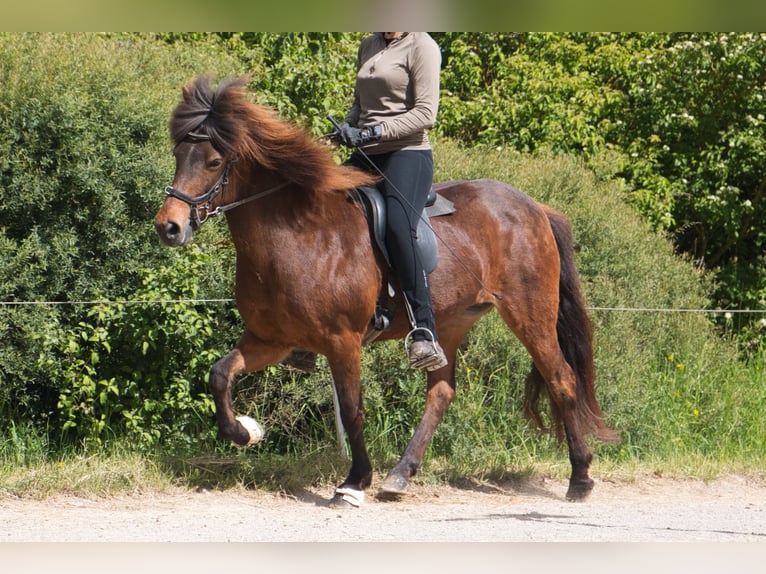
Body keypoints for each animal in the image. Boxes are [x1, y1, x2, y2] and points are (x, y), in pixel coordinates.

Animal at [154, 75, 616, 508]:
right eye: (178, 155)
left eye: (214, 161)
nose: (168, 227)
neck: (295, 235)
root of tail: (535, 207)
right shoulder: (271, 340)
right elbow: (219, 375)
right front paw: (246, 432)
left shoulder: (343, 341)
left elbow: (352, 409)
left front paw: (354, 482)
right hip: (450, 322)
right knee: (441, 392)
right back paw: (401, 475)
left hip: (530, 315)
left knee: (562, 379)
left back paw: (580, 479)